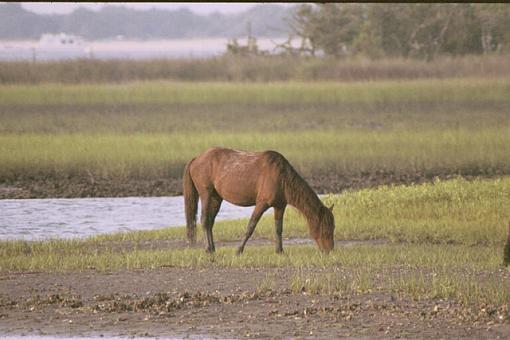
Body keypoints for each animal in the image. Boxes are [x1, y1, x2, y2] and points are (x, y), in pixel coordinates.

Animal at [182, 147, 334, 255]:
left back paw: (213, 248)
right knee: (204, 220)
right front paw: (239, 250)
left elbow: (279, 228)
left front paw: (280, 251)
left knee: (210, 222)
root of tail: (196, 159)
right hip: (206, 194)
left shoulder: (280, 206)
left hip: (216, 198)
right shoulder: (262, 204)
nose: (329, 250)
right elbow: (251, 226)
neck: (281, 177)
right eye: (325, 228)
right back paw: (208, 249)